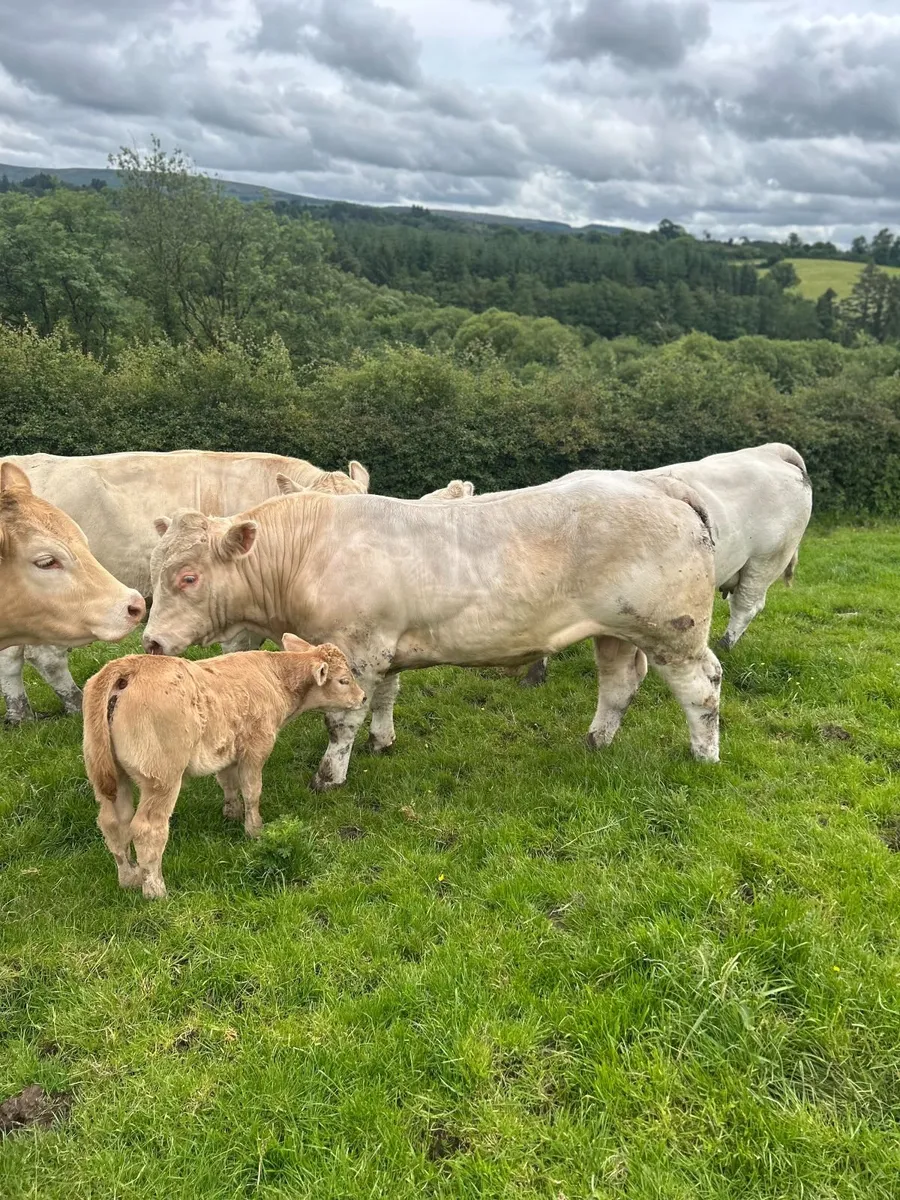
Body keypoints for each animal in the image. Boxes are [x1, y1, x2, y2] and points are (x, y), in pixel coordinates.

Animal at [83, 633, 366, 899]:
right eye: (343, 680)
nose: (363, 697)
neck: (275, 677)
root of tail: (128, 666)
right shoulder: (257, 747)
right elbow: (252, 790)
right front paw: (254, 829)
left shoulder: (226, 749)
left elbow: (228, 782)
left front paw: (232, 813)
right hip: (161, 778)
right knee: (147, 829)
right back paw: (155, 890)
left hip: (111, 776)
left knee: (113, 823)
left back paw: (129, 878)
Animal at [142, 472, 724, 792]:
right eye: (153, 568)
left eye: (188, 577)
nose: (151, 642)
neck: (308, 549)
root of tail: (654, 482)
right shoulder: (385, 648)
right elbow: (384, 698)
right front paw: (381, 741)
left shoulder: (357, 649)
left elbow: (341, 721)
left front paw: (329, 776)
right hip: (616, 630)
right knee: (619, 682)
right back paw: (595, 742)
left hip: (674, 632)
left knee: (702, 687)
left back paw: (705, 756)